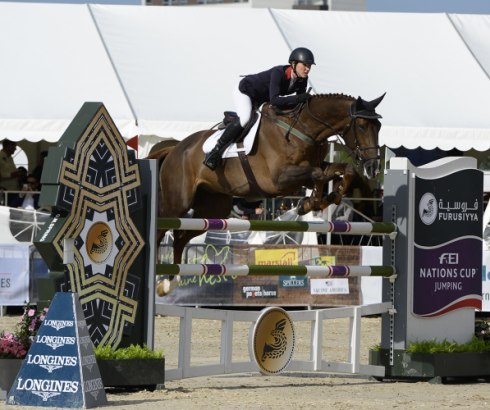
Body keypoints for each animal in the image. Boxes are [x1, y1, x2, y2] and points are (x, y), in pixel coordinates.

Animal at [148, 93, 382, 294]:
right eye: (362, 126)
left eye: (378, 126)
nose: (373, 168)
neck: (303, 129)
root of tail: (175, 149)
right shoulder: (279, 180)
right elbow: (317, 175)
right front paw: (313, 201)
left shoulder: (313, 168)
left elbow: (343, 170)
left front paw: (327, 197)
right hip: (177, 203)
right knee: (162, 230)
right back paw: (158, 276)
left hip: (213, 209)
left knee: (180, 237)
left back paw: (169, 283)